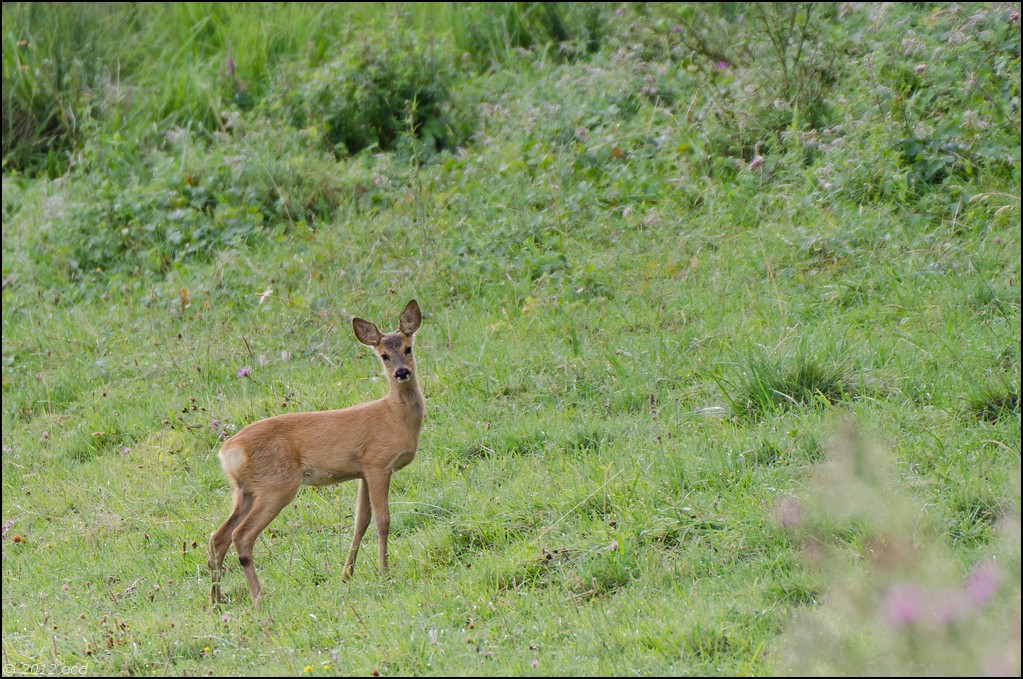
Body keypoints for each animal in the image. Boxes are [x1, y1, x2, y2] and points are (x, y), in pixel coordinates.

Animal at [207, 300, 423, 601]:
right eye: (383, 356)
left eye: (408, 348)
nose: (402, 372)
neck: (394, 416)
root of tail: (228, 451)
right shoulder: (377, 462)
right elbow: (383, 520)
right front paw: (384, 572)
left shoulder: (362, 471)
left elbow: (361, 521)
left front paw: (347, 574)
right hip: (277, 485)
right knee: (241, 535)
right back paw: (258, 598)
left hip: (244, 490)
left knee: (218, 537)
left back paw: (216, 601)